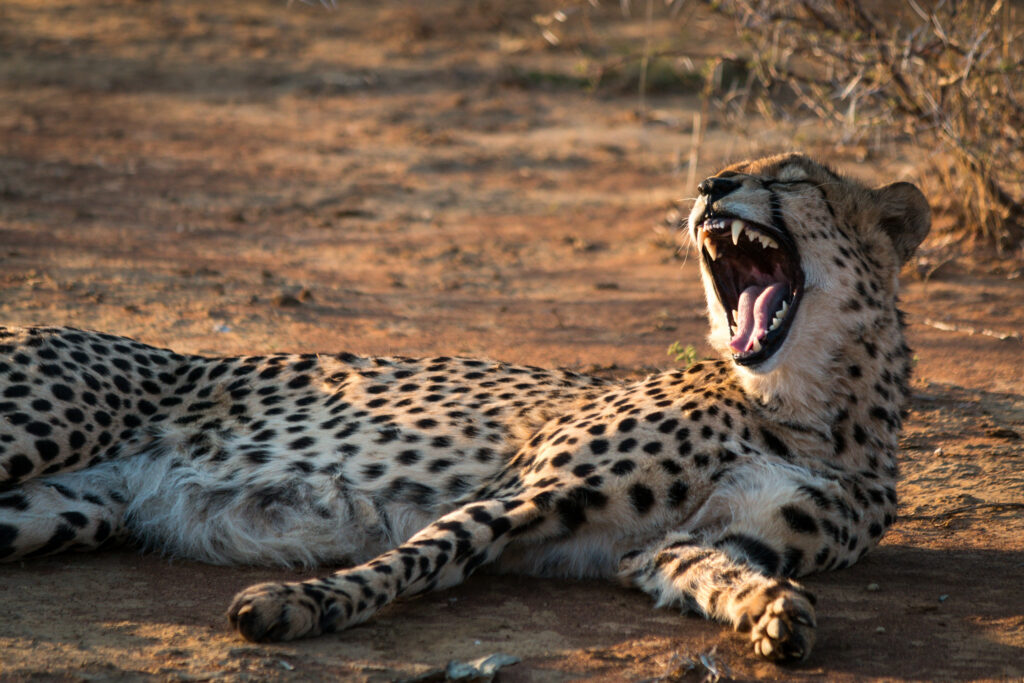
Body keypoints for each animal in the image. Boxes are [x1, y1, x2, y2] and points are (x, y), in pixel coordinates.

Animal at [0, 153, 930, 663]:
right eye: (737, 171)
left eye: (793, 176)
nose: (709, 184)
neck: (810, 408)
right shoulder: (525, 492)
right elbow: (419, 555)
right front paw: (301, 604)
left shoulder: (681, 543)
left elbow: (729, 572)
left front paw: (776, 614)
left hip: (58, 510)